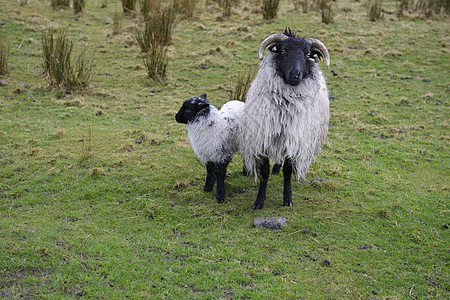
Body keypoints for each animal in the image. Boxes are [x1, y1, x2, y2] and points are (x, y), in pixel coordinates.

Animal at [239, 29, 330, 210]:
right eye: (283, 51)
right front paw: (259, 201)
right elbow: (264, 173)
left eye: (308, 54)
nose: (295, 74)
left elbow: (287, 172)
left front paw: (287, 198)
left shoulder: (293, 141)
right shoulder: (264, 139)